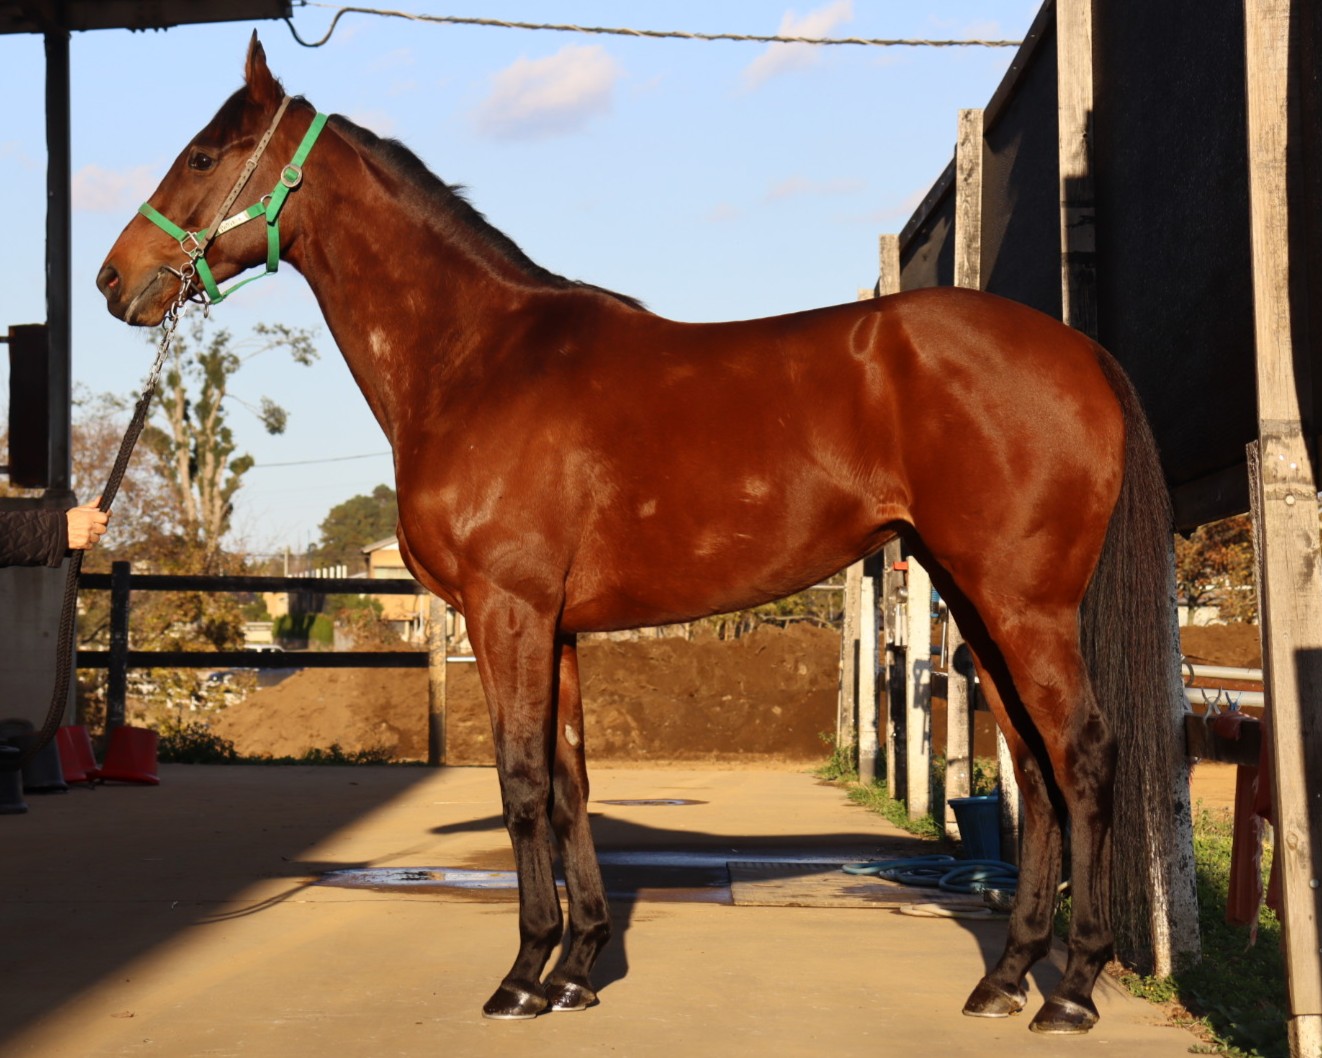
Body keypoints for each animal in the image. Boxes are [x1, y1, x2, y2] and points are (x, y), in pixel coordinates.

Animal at [98, 35, 1180, 1035]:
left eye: (202, 155)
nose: (115, 280)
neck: (478, 358)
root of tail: (1078, 350)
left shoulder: (506, 611)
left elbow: (523, 782)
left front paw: (521, 976)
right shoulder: (556, 626)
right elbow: (571, 782)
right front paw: (577, 969)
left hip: (1023, 604)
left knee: (1083, 755)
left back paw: (1071, 991)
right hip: (975, 601)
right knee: (1032, 768)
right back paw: (1006, 976)